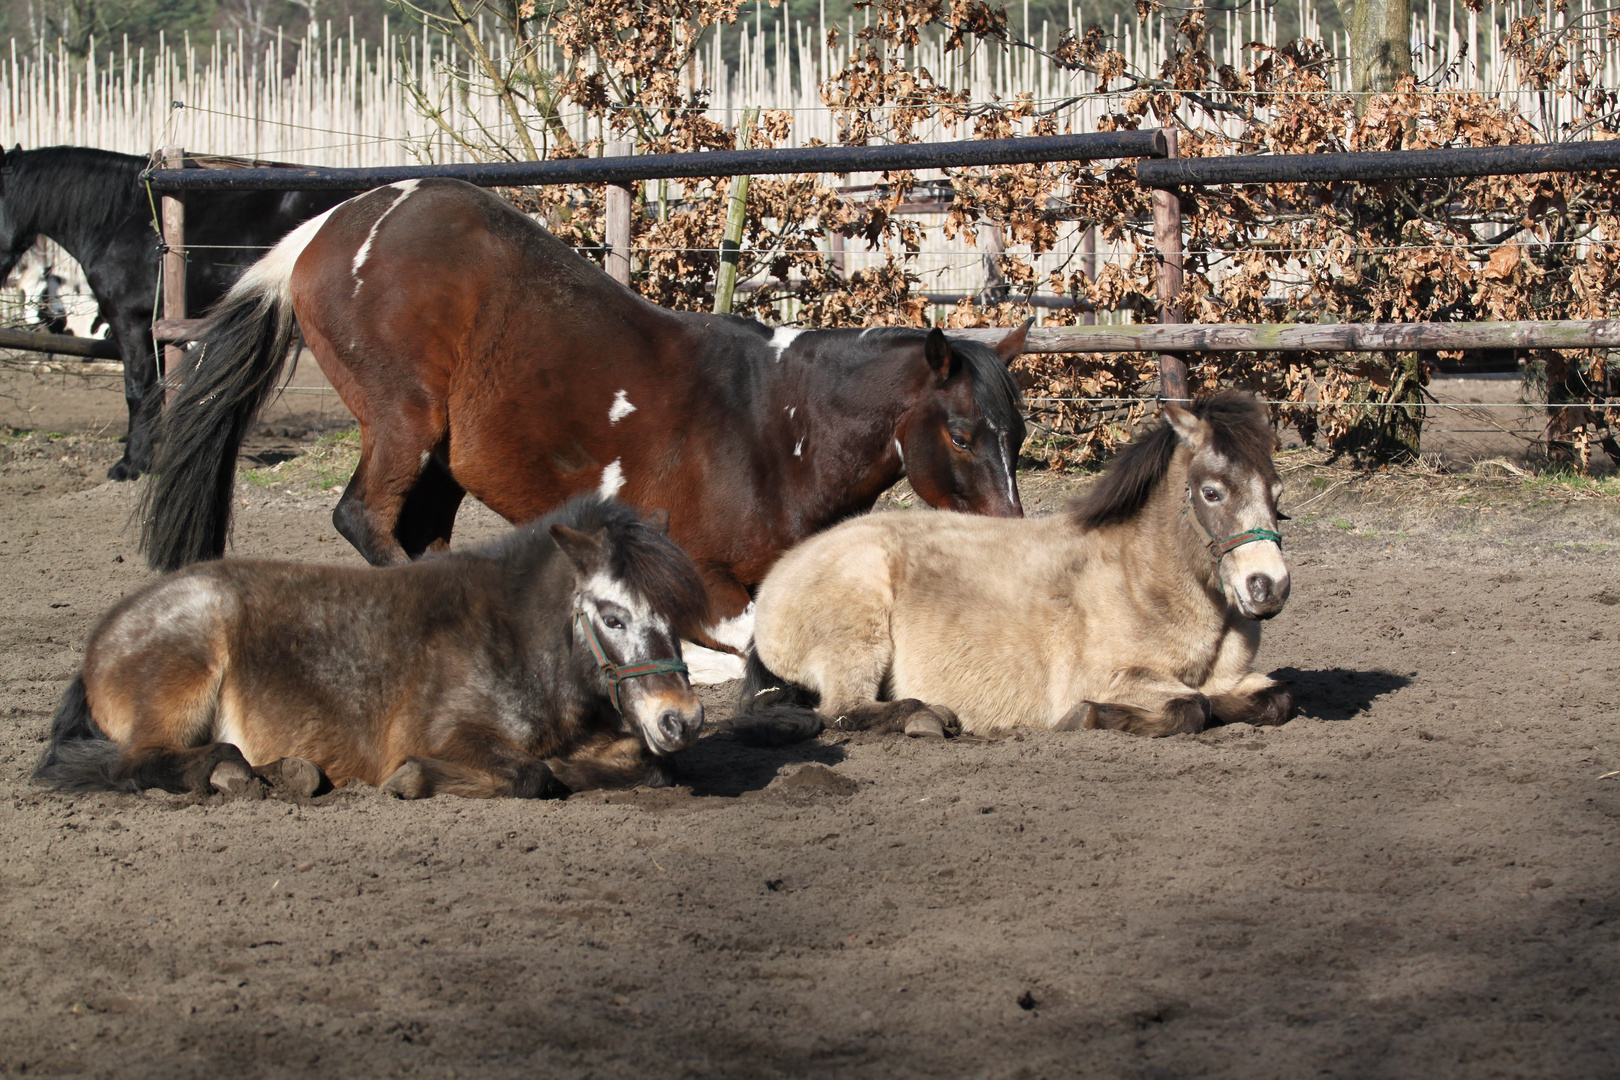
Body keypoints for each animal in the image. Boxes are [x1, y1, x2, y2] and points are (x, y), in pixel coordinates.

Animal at [31, 495, 709, 799]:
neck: (515, 640)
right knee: (139, 763)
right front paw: (413, 776)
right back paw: (229, 773)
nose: (682, 719)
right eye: (613, 617)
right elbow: (531, 774)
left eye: (673, 615)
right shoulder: (447, 731)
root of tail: (105, 637)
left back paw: (287, 772)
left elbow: (649, 766)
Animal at [142, 178, 1023, 650]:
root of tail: (326, 229)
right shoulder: (703, 577)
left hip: (442, 458)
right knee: (365, 520)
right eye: (963, 433)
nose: (1012, 536)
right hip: (404, 421)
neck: (777, 425)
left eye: (1015, 434)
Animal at [741, 390, 1296, 744]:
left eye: (1277, 493)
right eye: (1212, 492)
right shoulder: (1113, 678)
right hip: (858, 636)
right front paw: (1086, 717)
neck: (1143, 579)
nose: (1268, 587)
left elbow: (1272, 699)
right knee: (842, 712)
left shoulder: (1231, 678)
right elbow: (1189, 707)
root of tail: (778, 579)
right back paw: (928, 717)